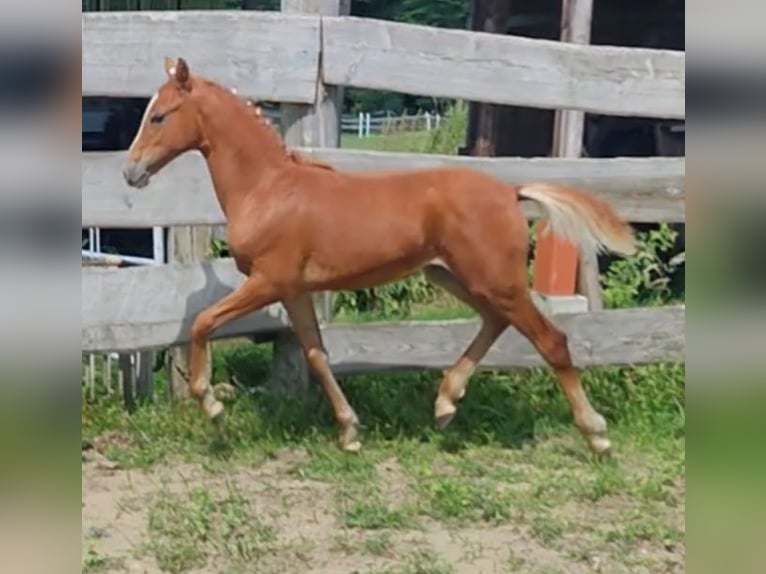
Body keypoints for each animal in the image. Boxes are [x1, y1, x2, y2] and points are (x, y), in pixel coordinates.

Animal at [123, 57, 640, 454]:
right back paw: (446, 403)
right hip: (454, 276)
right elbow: (316, 353)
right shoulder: (294, 289)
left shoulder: (268, 281)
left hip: (496, 279)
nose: (131, 172)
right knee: (495, 321)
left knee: (551, 340)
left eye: (159, 116)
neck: (268, 189)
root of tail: (510, 193)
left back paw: (596, 435)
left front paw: (211, 404)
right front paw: (350, 431)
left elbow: (203, 321)